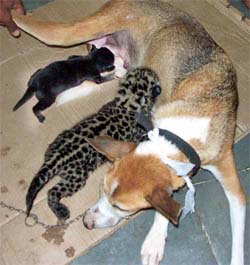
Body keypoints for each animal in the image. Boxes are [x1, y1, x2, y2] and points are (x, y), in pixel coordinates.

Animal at [12, 0, 245, 264]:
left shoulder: (230, 176)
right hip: (73, 33)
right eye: (101, 188)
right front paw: (155, 240)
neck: (195, 120)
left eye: (121, 207)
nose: (87, 222)